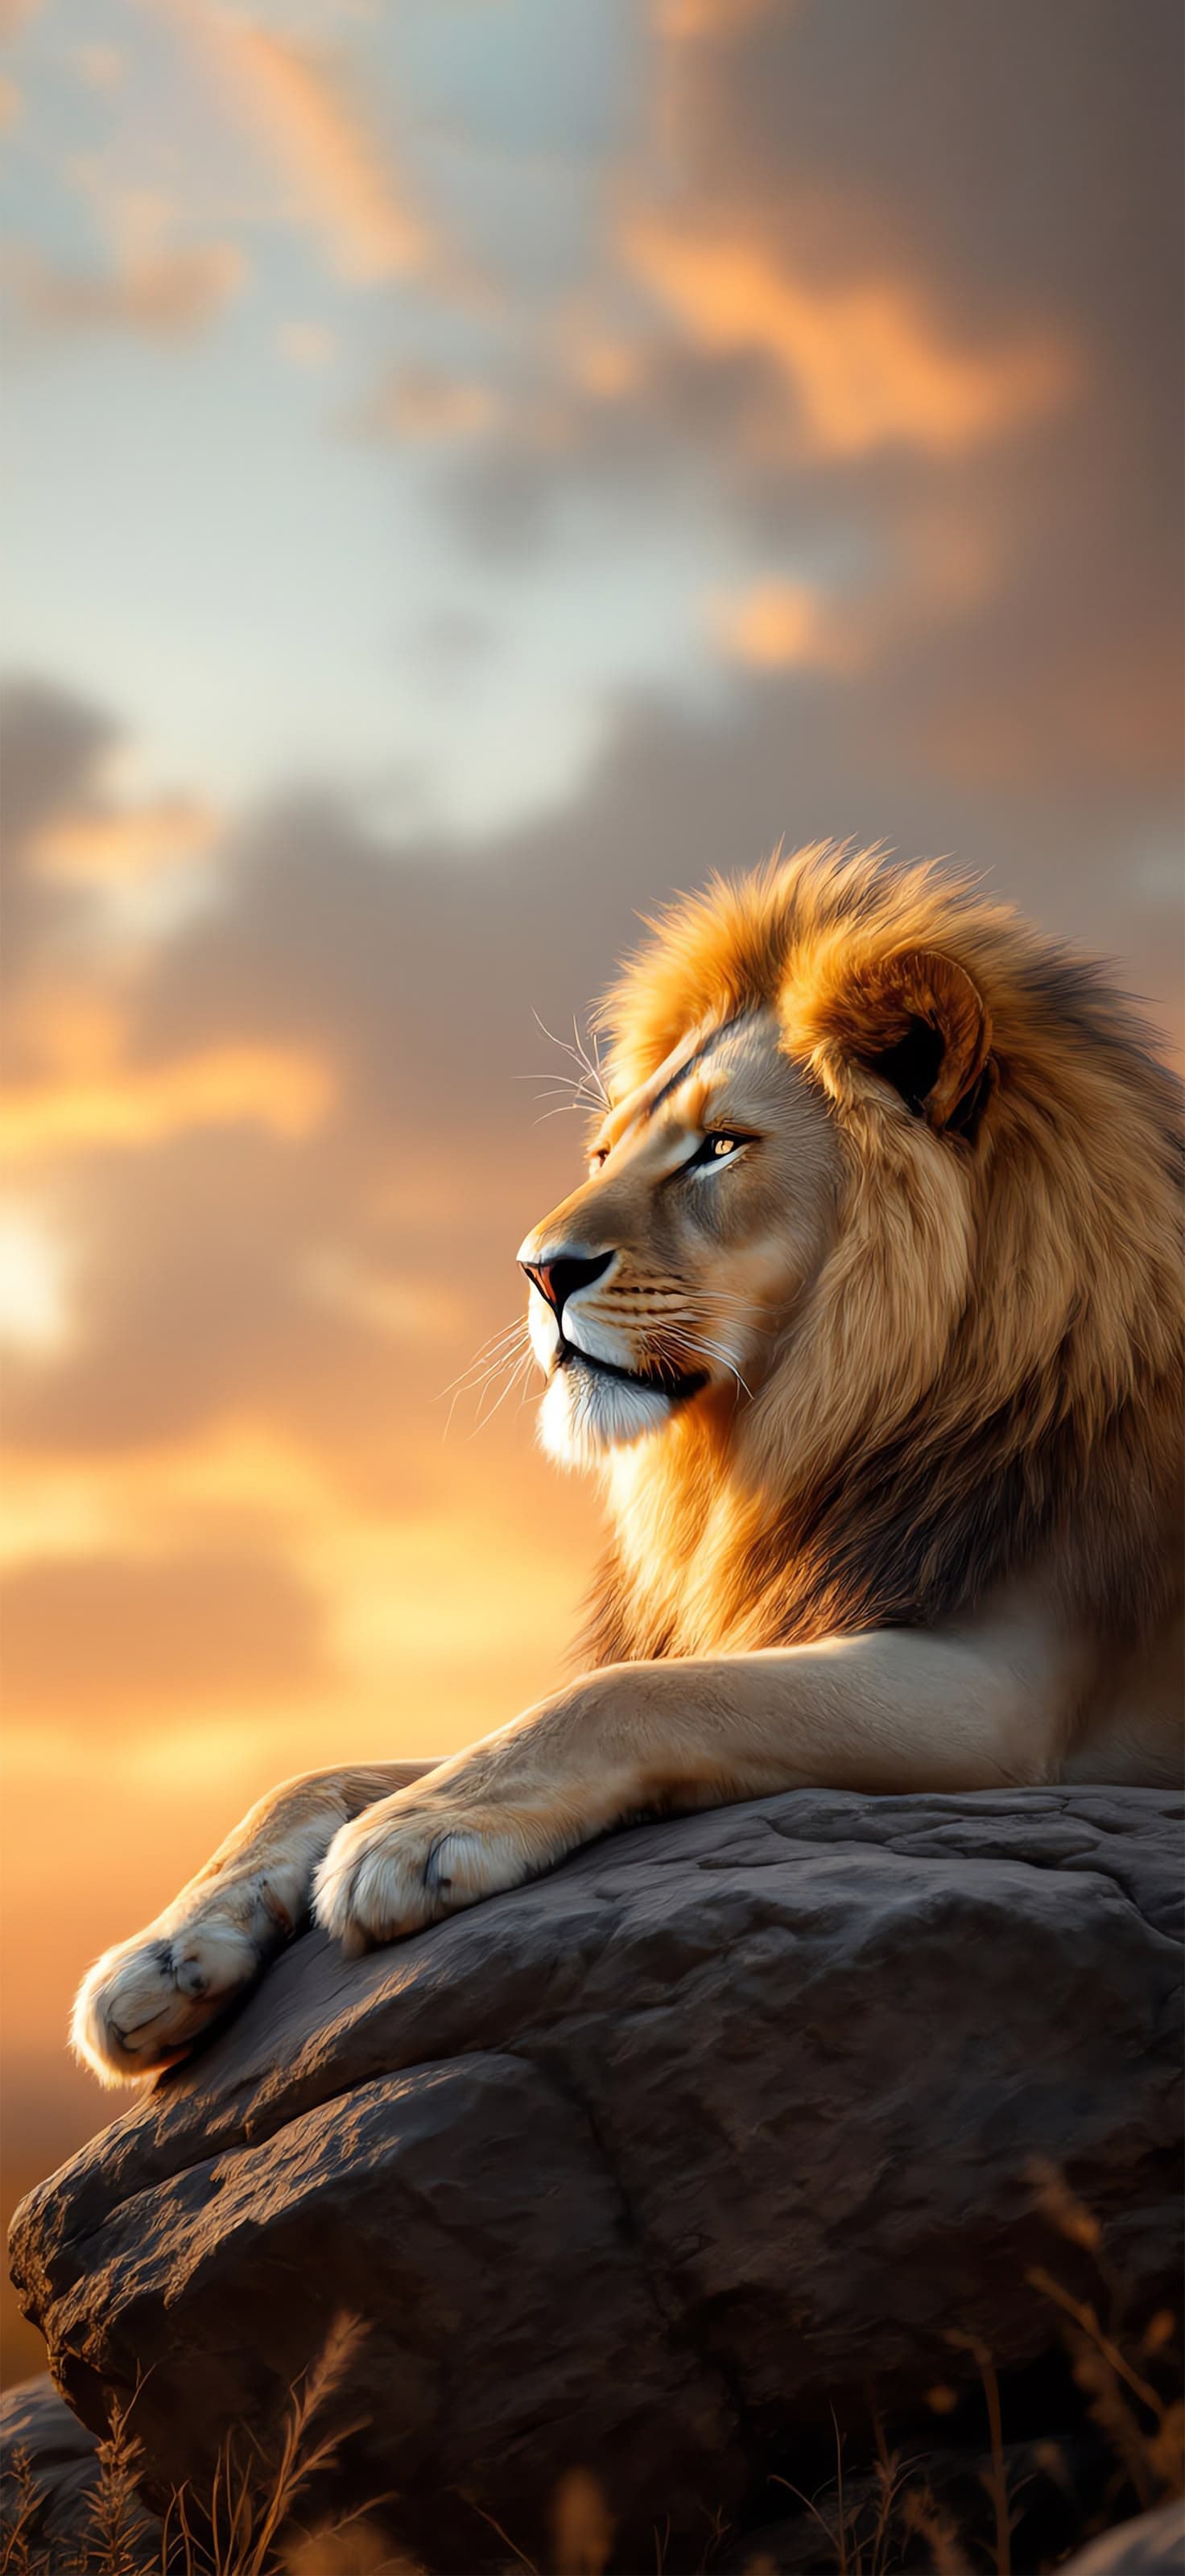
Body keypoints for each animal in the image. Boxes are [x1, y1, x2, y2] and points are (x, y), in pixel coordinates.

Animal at [72, 846, 1184, 2085]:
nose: (537, 1270)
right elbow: (323, 1769)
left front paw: (415, 1834)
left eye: (718, 1147)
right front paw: (166, 1955)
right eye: (605, 1153)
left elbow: (631, 1688)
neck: (805, 1424)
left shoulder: (1008, 1695)